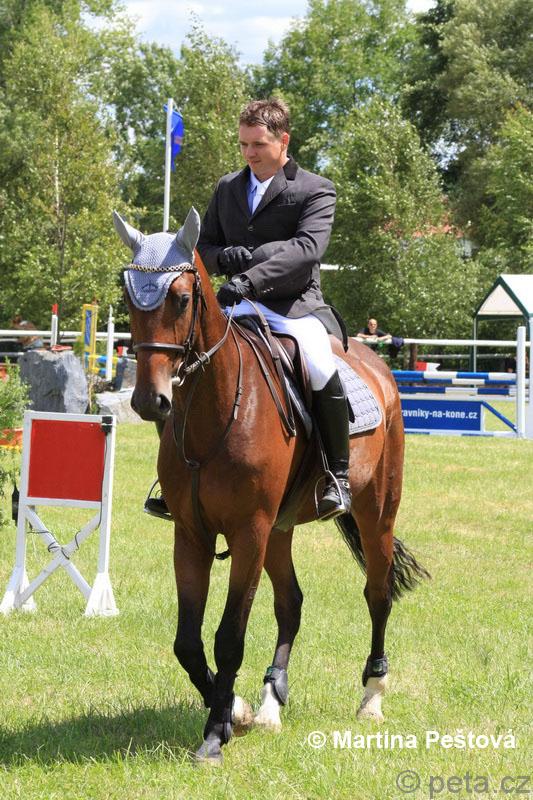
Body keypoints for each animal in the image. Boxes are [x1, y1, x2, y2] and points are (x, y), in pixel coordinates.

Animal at [114, 207, 429, 764]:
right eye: (130, 297)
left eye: (182, 298)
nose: (151, 402)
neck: (216, 407)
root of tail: (376, 365)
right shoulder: (191, 535)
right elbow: (187, 642)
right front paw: (235, 710)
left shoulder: (248, 533)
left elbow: (228, 636)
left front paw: (215, 734)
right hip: (281, 530)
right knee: (292, 603)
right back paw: (269, 703)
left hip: (375, 513)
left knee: (376, 593)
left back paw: (371, 696)